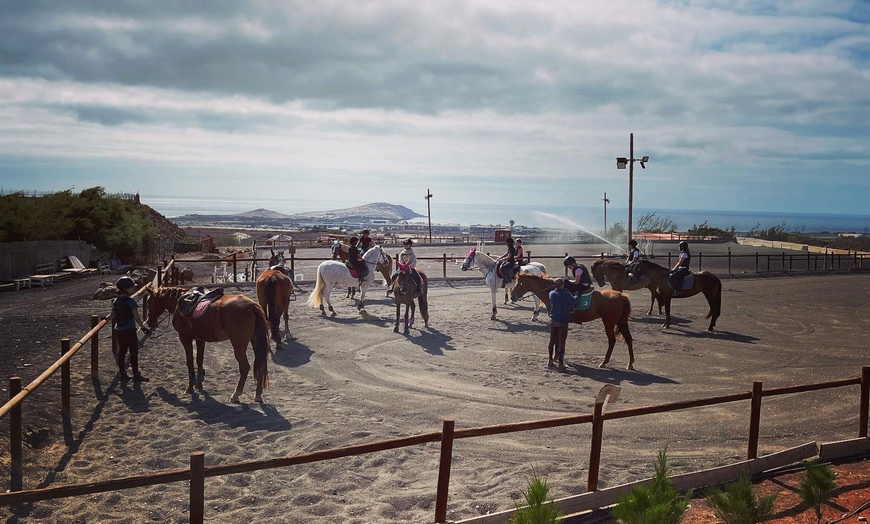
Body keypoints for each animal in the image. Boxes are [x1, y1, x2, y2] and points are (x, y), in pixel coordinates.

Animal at [508, 274, 636, 368]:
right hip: (622, 322)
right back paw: (630, 363)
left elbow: (557, 340)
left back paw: (604, 362)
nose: (512, 297)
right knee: (628, 339)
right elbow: (558, 340)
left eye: (519, 283)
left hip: (609, 323)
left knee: (612, 341)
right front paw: (556, 357)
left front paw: (555, 357)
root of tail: (621, 295)